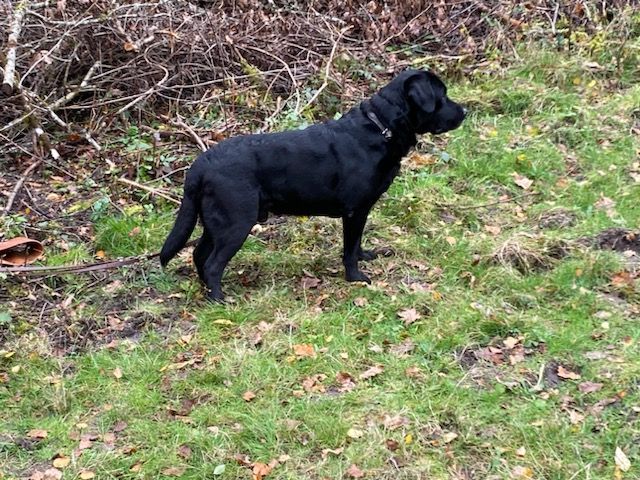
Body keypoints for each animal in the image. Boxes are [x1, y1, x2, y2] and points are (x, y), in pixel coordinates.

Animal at [161, 69, 464, 300]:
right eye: (442, 96)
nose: (465, 110)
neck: (381, 128)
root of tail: (201, 163)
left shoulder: (362, 210)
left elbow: (357, 243)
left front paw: (365, 256)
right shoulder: (354, 210)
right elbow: (348, 249)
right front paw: (355, 277)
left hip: (216, 221)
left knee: (199, 254)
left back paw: (207, 290)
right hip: (236, 221)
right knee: (213, 263)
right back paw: (219, 299)